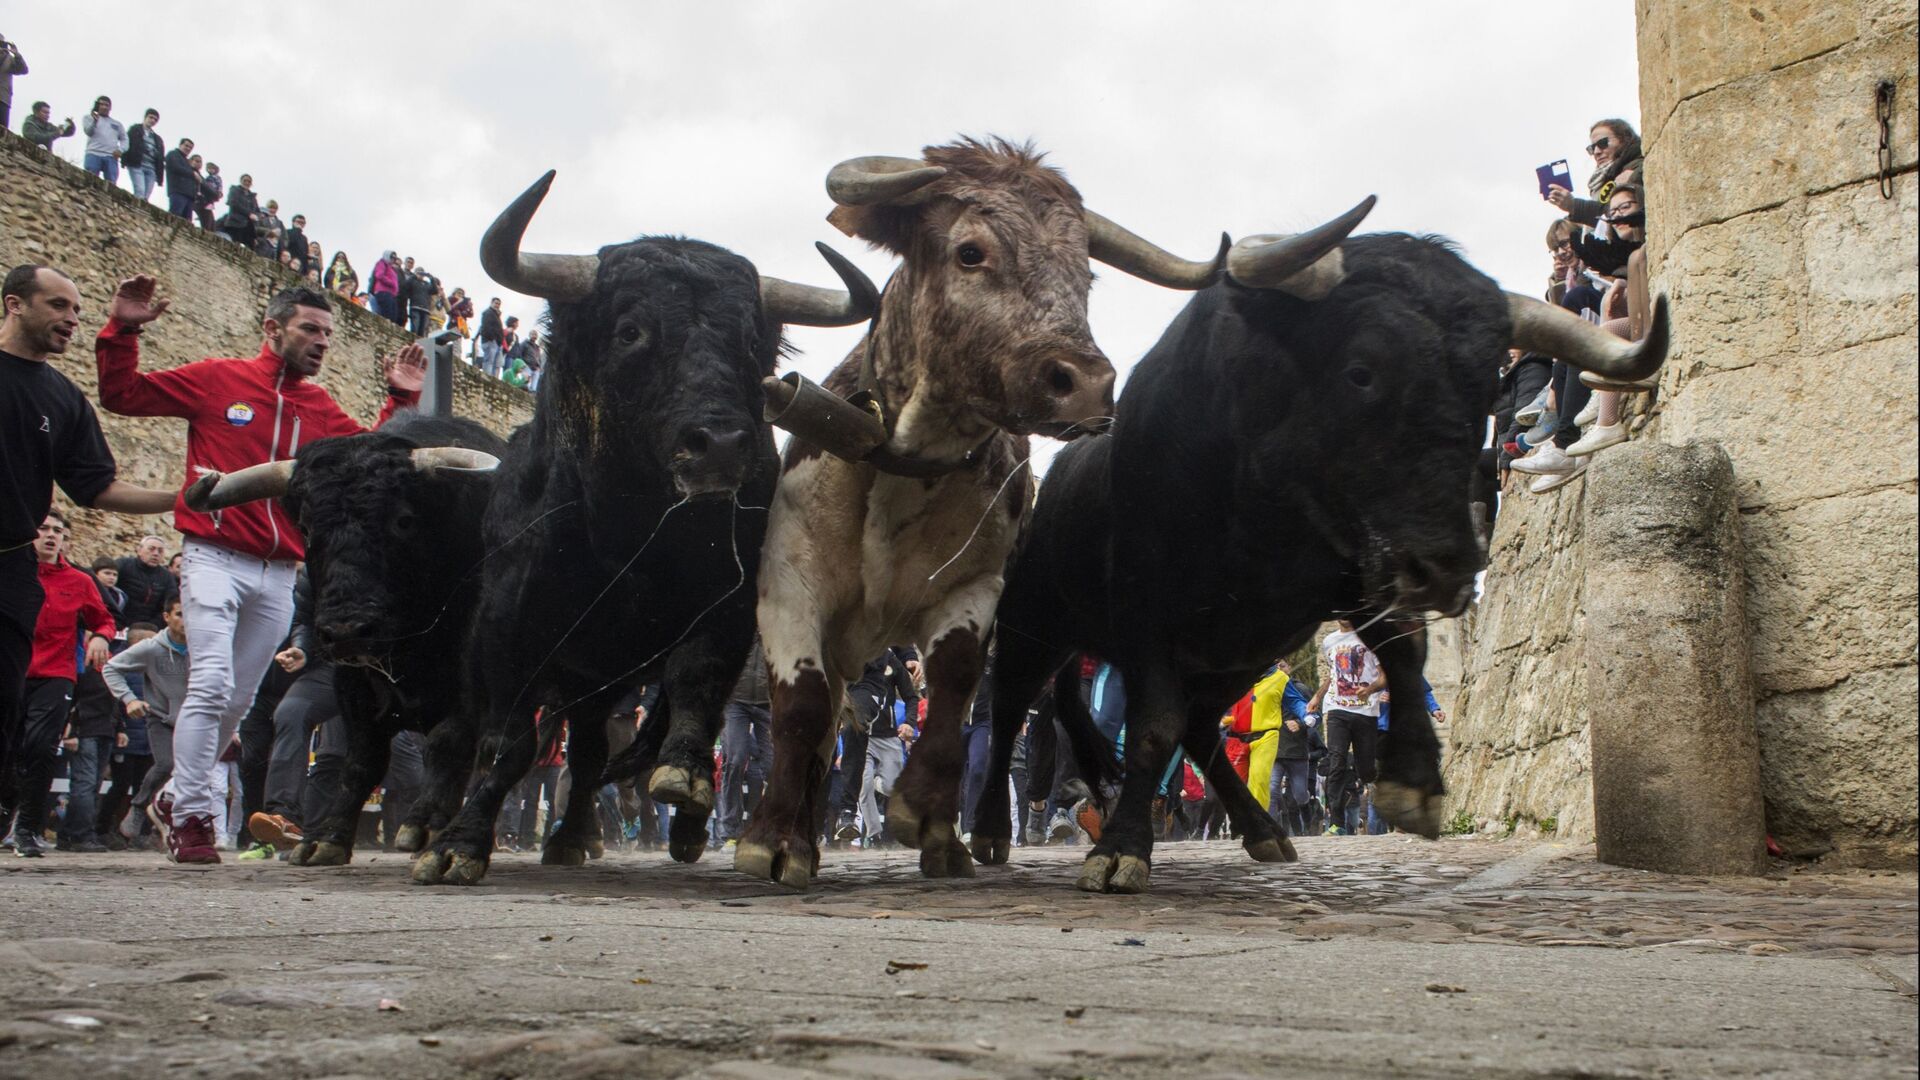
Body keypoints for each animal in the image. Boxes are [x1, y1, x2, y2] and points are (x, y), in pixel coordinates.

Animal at [733, 136, 1244, 883]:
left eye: (1086, 273)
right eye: (970, 251)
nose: (1085, 383)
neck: (904, 474)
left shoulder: (974, 589)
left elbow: (952, 691)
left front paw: (927, 816)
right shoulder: (789, 587)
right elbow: (797, 712)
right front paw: (769, 840)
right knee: (822, 726)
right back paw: (799, 837)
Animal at [975, 228, 1666, 891]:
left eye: (1486, 383)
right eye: (1361, 370)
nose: (1449, 568)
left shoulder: (1347, 577)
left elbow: (1403, 653)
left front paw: (1415, 781)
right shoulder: (1148, 612)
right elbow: (1151, 729)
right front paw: (1120, 850)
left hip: (1240, 656)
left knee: (1200, 727)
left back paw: (1262, 829)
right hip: (1032, 625)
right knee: (1010, 711)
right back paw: (988, 831)